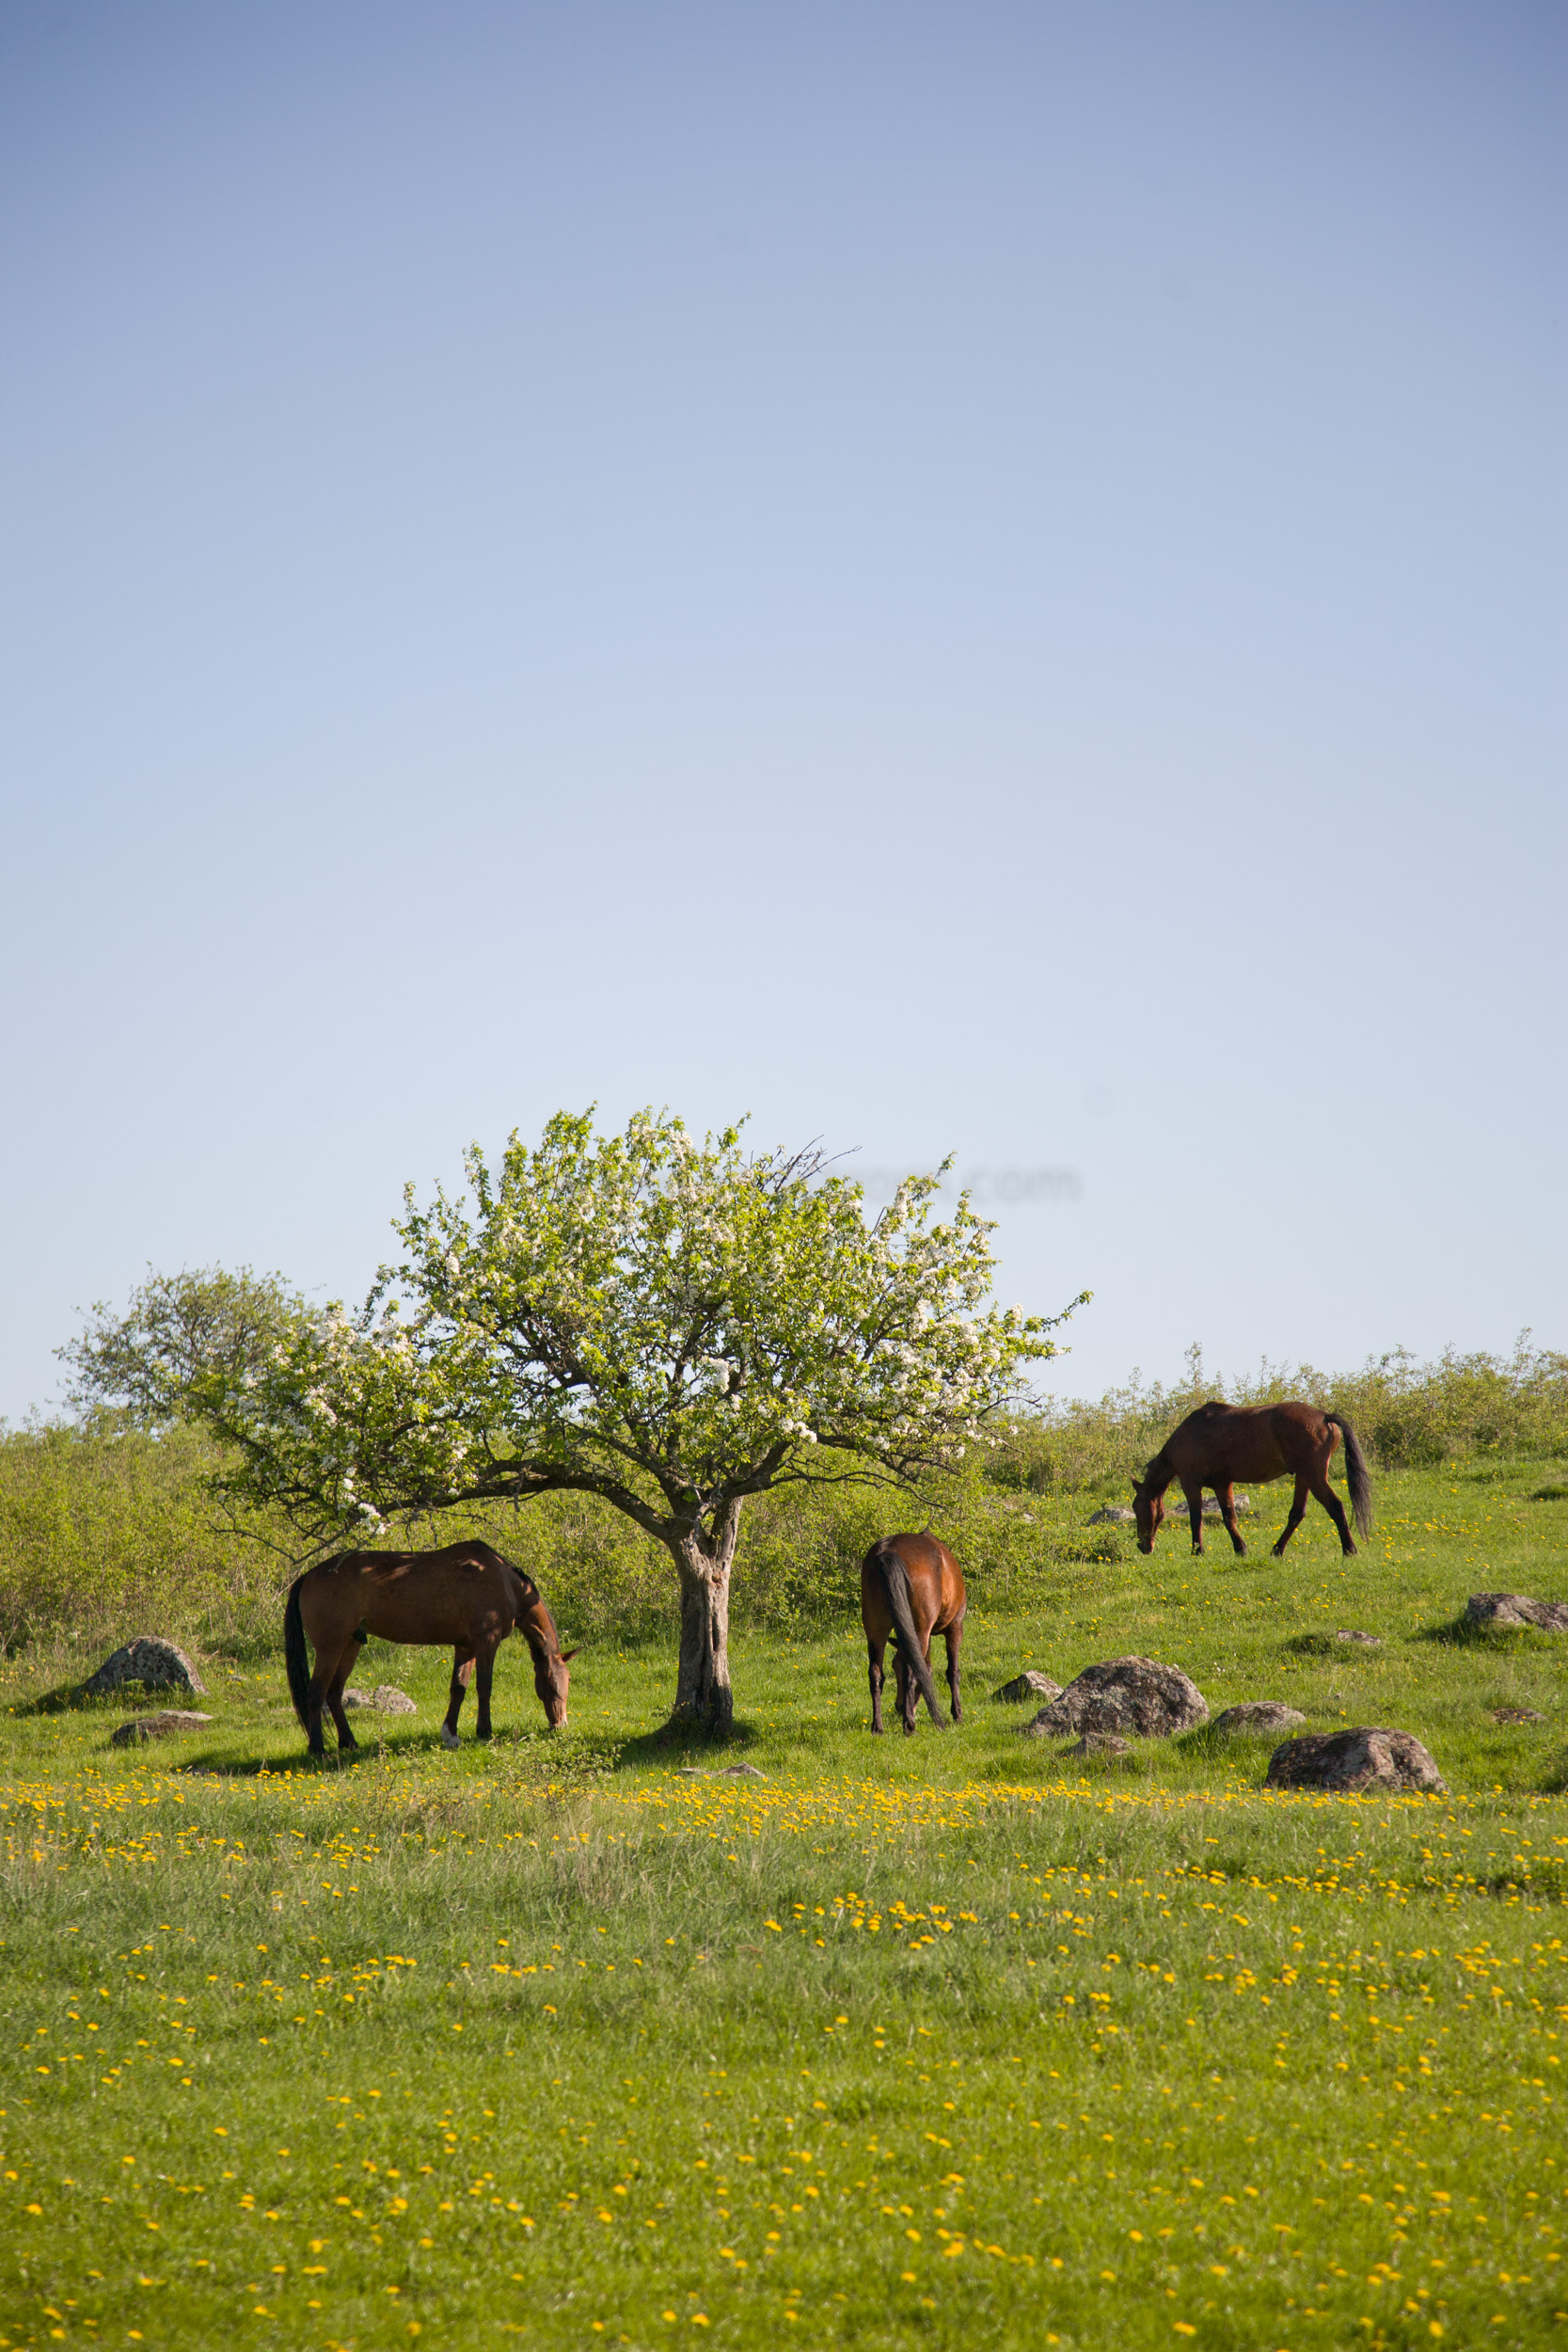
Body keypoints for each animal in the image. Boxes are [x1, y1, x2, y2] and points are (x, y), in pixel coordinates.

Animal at [281, 1534, 576, 1759]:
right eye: (555, 1682)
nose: (561, 1724)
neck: (504, 1581)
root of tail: (308, 1575)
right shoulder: (486, 1643)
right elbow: (484, 1687)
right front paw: (484, 1731)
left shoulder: (466, 1647)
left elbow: (458, 1688)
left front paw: (451, 1735)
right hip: (330, 1647)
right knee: (316, 1692)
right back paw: (318, 1748)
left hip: (350, 1644)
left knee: (334, 1692)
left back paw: (349, 1742)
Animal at [860, 1534, 968, 1740]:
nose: (899, 1706)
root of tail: (886, 1552)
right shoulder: (955, 1627)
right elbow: (952, 1671)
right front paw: (957, 1714)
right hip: (920, 1630)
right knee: (912, 1672)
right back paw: (909, 1725)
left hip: (876, 1631)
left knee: (876, 1674)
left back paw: (878, 1727)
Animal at [1128, 1392, 1372, 1562]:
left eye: (1137, 1508)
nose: (1142, 1546)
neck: (1190, 1433)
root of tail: (1324, 1417)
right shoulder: (1222, 1484)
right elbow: (1229, 1517)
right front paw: (1240, 1549)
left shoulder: (1191, 1483)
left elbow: (1196, 1518)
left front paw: (1197, 1551)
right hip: (1303, 1478)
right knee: (1296, 1514)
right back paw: (1277, 1550)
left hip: (1314, 1476)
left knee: (1336, 1506)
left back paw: (1349, 1549)